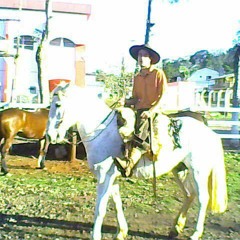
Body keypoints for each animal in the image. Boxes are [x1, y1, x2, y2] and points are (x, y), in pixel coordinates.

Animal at [45, 83, 227, 240]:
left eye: (58, 105)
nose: (49, 136)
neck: (102, 132)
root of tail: (209, 131)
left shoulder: (104, 177)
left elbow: (100, 208)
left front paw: (96, 235)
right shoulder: (112, 177)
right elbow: (117, 202)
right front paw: (121, 232)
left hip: (198, 171)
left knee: (203, 198)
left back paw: (195, 233)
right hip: (180, 170)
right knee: (190, 194)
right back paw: (176, 228)